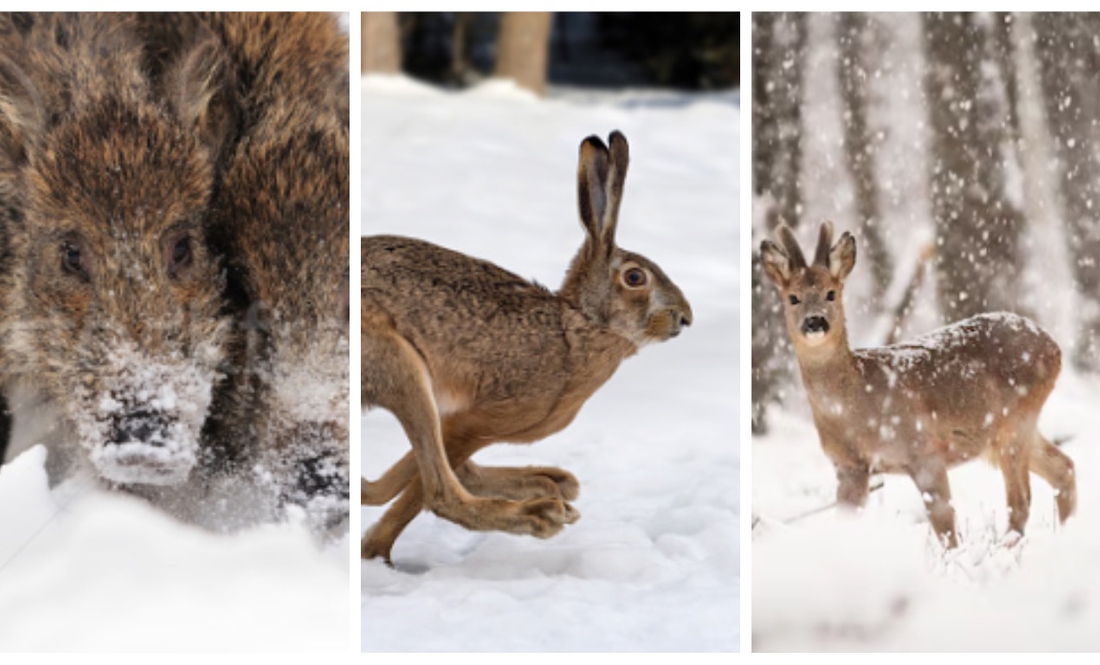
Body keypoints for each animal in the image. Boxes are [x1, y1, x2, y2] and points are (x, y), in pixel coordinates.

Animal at [761, 223, 1078, 545]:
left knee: (1021, 502)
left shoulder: (924, 451)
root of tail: (1053, 347)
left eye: (831, 293)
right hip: (1010, 431)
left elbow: (945, 527)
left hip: (1016, 420)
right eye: (793, 297)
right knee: (1063, 468)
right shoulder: (849, 466)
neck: (855, 406)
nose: (815, 322)